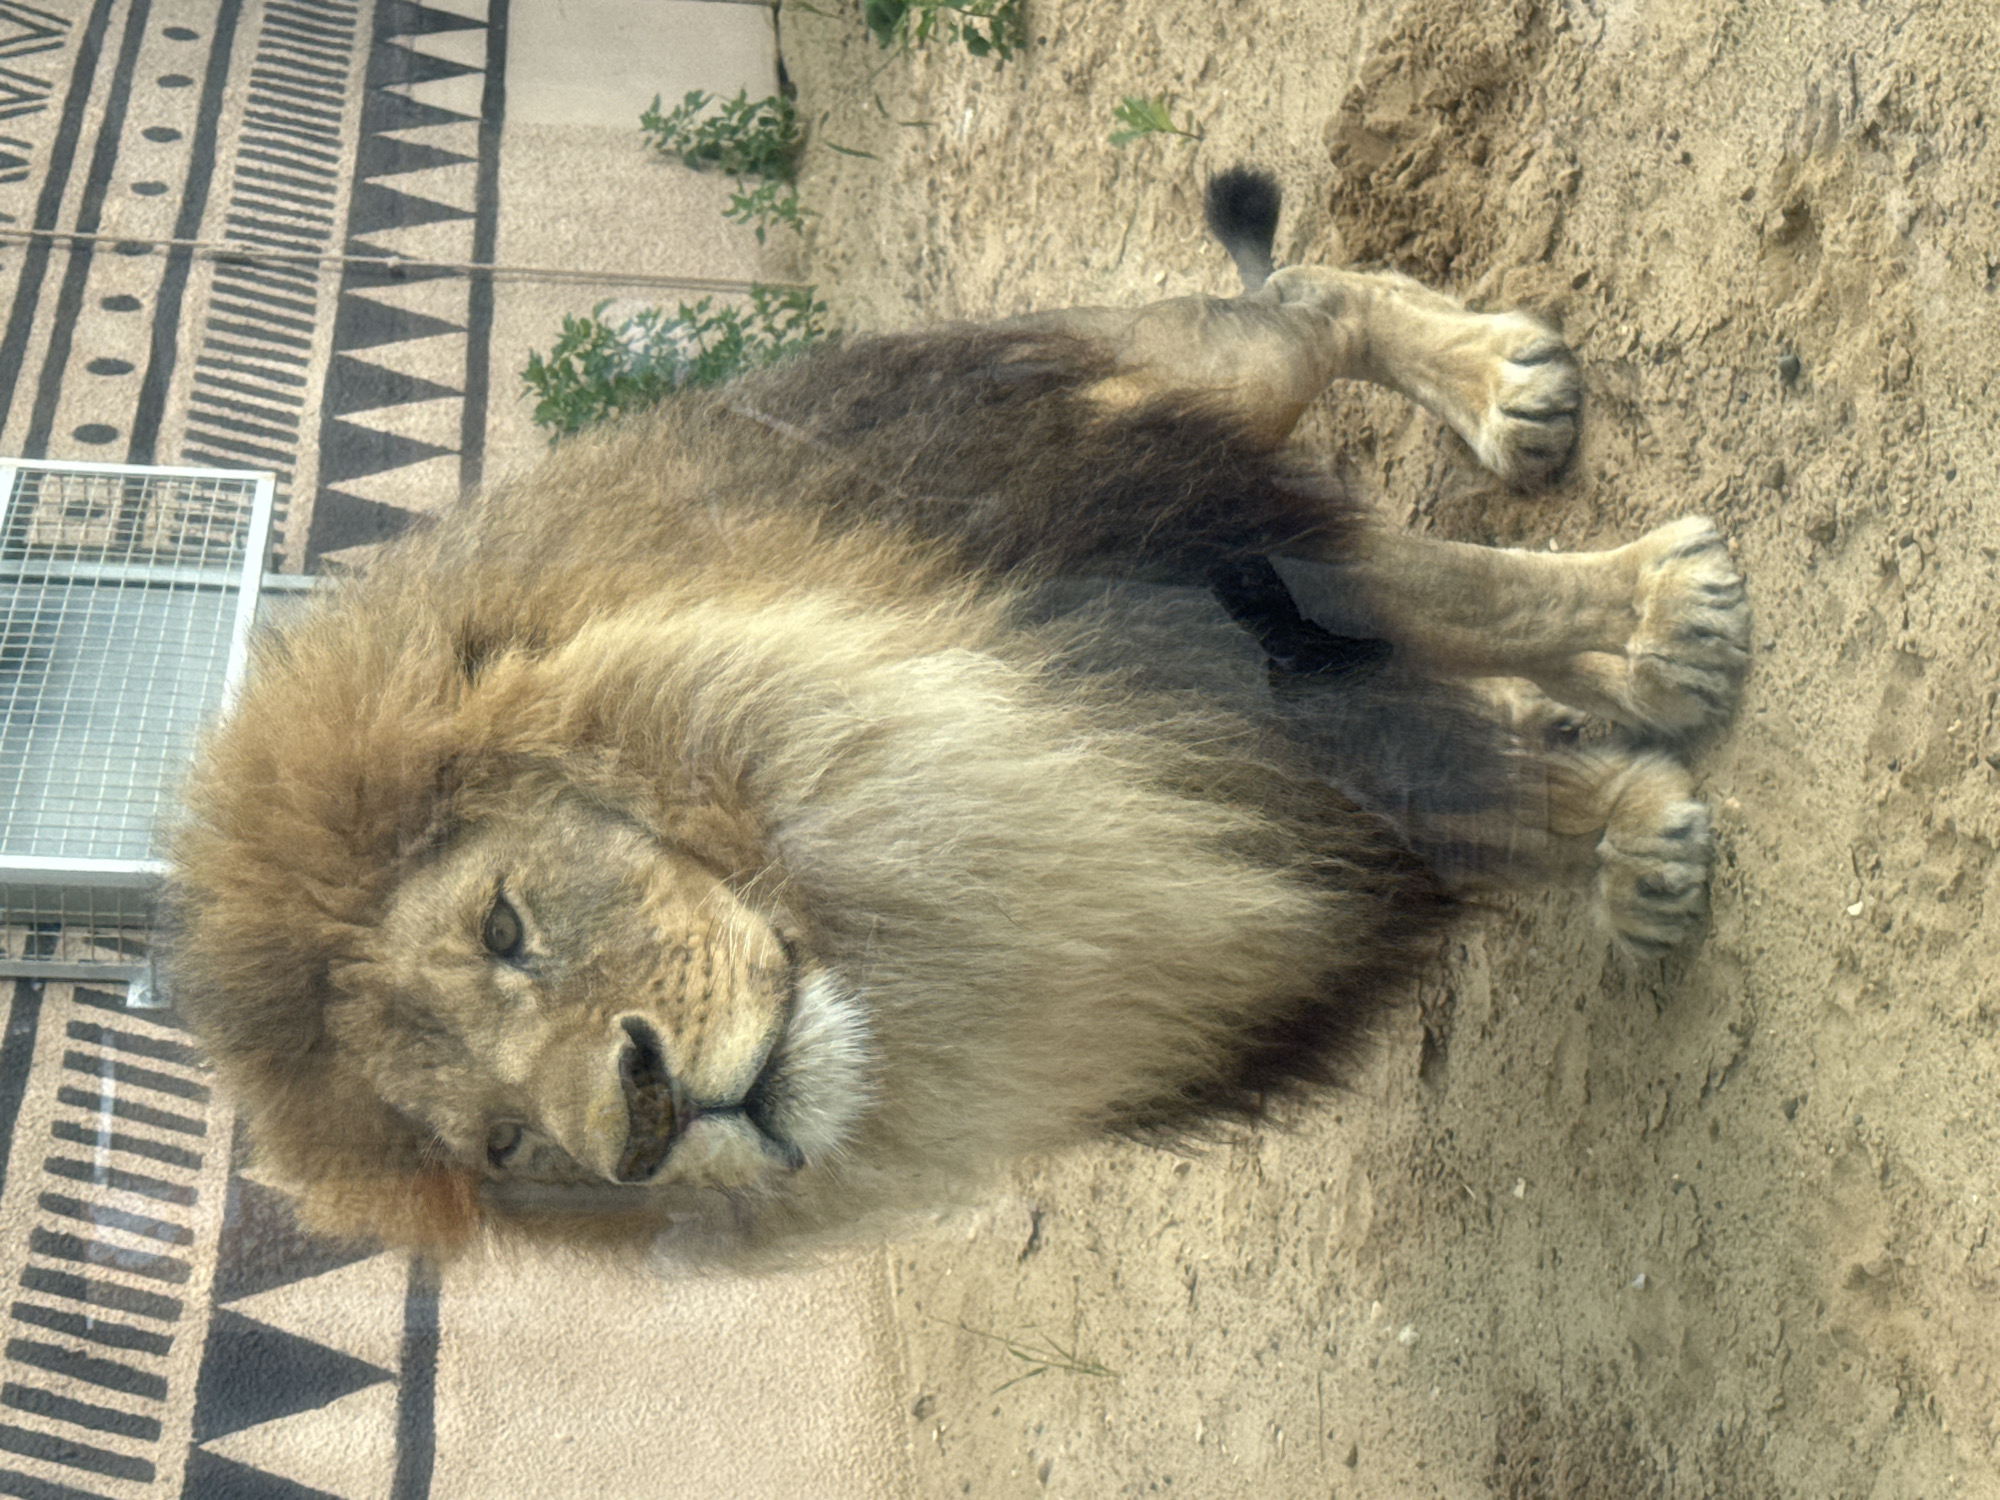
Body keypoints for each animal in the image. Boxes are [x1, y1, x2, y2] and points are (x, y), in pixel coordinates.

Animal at [162, 169, 1748, 1264]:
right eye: (504, 1145)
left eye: (505, 926)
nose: (639, 1123)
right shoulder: (1243, 820)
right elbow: (1465, 785)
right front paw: (1627, 837)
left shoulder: (1202, 571)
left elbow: (1472, 602)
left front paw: (1667, 624)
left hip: (1176, 391)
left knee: (1304, 302)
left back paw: (1508, 397)